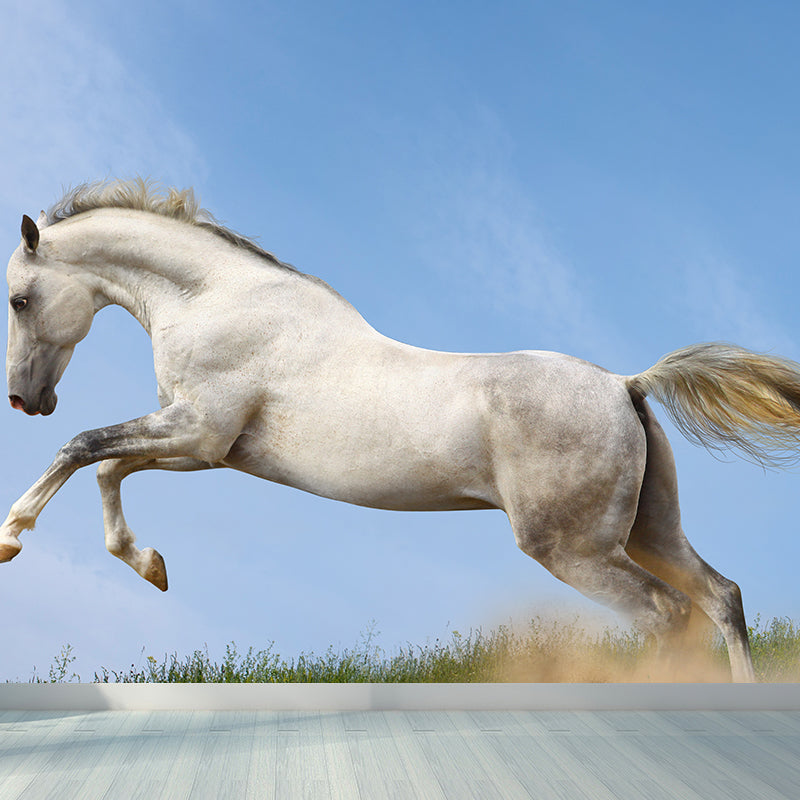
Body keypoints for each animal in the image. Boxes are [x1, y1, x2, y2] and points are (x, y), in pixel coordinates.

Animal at [5, 180, 800, 682]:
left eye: (17, 298)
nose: (23, 398)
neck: (216, 301)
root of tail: (625, 384)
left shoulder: (197, 433)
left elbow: (82, 447)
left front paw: (12, 537)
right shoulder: (203, 447)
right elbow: (105, 466)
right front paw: (151, 565)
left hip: (574, 548)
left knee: (669, 614)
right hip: (647, 530)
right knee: (721, 597)